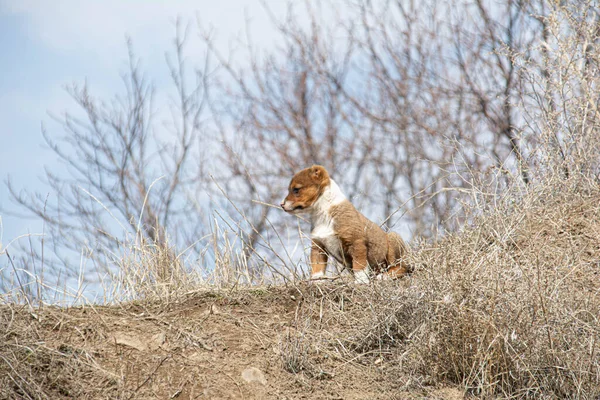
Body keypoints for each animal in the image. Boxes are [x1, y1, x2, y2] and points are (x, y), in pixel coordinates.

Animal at [280, 164, 410, 282]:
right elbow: (317, 270)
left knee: (401, 268)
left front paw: (360, 282)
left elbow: (359, 267)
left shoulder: (356, 243)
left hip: (393, 241)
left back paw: (383, 277)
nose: (281, 205)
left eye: (296, 189)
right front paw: (317, 283)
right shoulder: (318, 247)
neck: (324, 213)